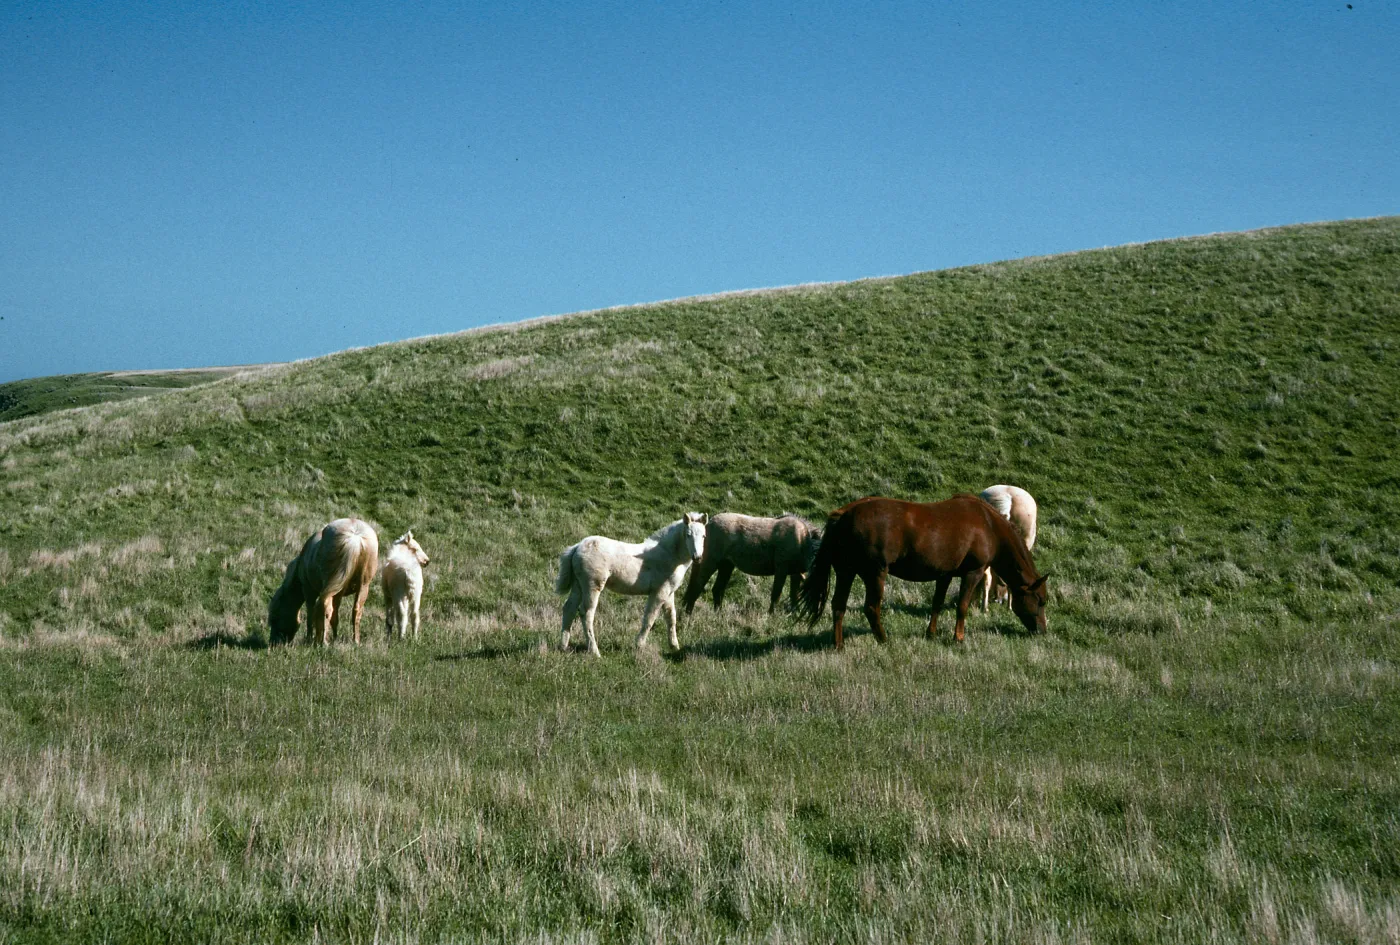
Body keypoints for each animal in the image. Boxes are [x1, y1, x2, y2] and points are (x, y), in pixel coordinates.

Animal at [555, 512, 708, 656]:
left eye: (704, 536)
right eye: (688, 535)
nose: (698, 557)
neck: (669, 554)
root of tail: (577, 547)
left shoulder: (669, 592)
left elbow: (671, 617)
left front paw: (674, 645)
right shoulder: (659, 592)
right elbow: (649, 618)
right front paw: (639, 645)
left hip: (578, 585)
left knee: (569, 609)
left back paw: (563, 646)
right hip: (592, 586)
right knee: (586, 614)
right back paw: (594, 651)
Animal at [681, 512, 822, 614]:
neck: (802, 540)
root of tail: (708, 524)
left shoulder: (795, 573)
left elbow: (794, 594)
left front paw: (794, 613)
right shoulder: (781, 570)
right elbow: (776, 594)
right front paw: (771, 614)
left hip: (726, 566)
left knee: (717, 589)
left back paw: (718, 614)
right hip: (710, 563)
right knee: (697, 585)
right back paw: (689, 613)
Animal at [799, 495, 1047, 649]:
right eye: (1040, 601)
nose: (1042, 631)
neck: (988, 525)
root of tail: (845, 513)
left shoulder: (945, 574)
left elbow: (937, 604)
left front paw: (932, 633)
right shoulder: (973, 573)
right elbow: (962, 606)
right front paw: (958, 638)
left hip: (846, 572)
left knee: (838, 605)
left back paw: (838, 644)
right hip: (876, 573)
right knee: (871, 608)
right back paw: (883, 640)